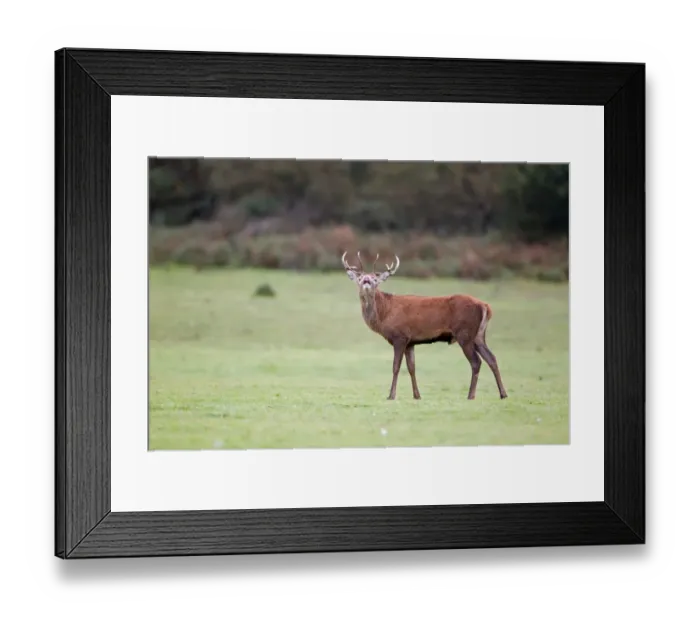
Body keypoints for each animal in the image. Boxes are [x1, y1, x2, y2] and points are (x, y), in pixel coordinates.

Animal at [341, 251, 508, 401]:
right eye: (360, 278)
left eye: (375, 279)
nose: (366, 281)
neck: (385, 313)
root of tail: (485, 306)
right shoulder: (410, 341)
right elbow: (411, 368)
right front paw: (417, 395)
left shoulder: (400, 336)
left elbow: (396, 367)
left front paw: (391, 395)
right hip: (478, 335)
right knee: (491, 358)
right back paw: (503, 394)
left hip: (464, 333)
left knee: (476, 361)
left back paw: (471, 395)